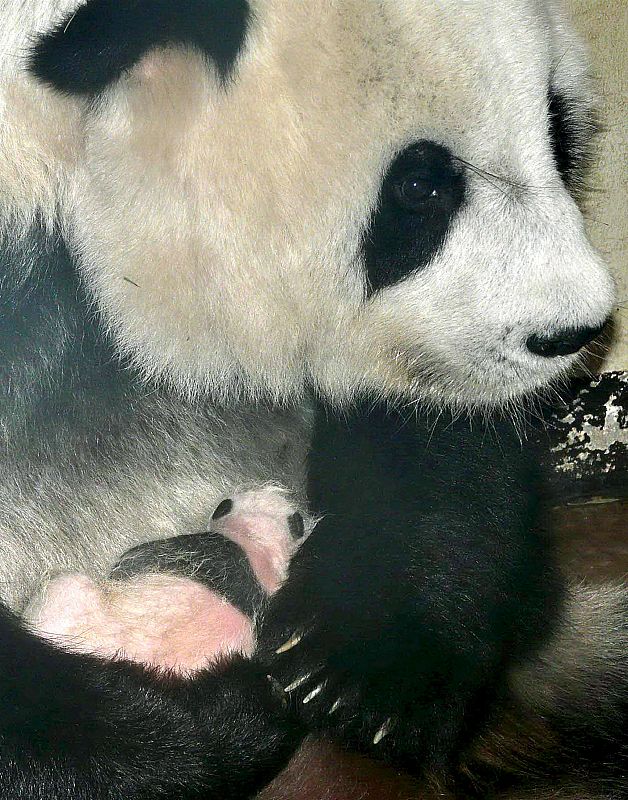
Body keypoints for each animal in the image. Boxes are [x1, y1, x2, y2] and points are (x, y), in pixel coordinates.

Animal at [0, 0, 624, 797]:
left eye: (558, 129)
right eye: (420, 188)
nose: (573, 332)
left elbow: (429, 435)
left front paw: (358, 669)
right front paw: (198, 726)